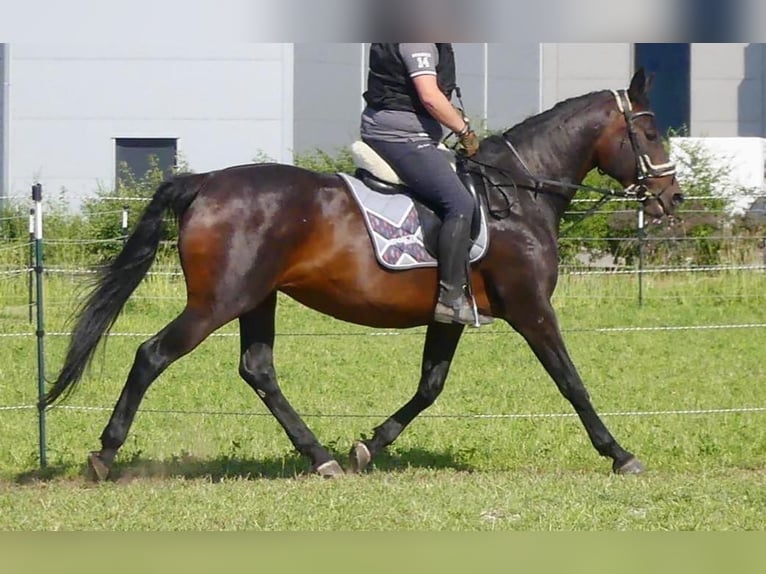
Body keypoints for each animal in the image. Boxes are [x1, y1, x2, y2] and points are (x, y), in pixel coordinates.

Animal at [45, 68, 688, 482]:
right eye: (650, 132)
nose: (672, 198)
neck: (519, 194)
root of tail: (205, 182)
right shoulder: (532, 309)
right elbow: (572, 382)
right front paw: (620, 454)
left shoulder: (451, 315)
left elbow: (430, 386)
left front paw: (367, 447)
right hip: (216, 302)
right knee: (152, 355)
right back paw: (104, 455)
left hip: (256, 297)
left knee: (258, 370)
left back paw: (322, 458)